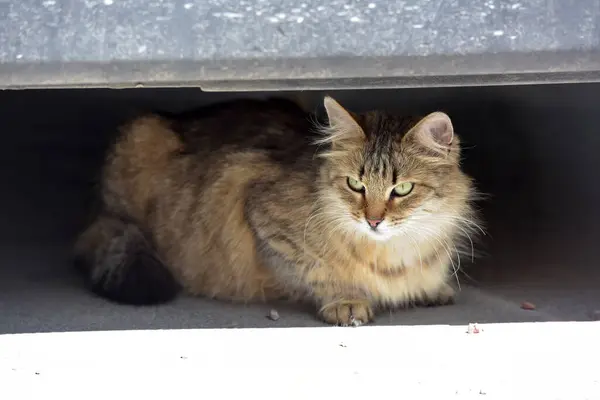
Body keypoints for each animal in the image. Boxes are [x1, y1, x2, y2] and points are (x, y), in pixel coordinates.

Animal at [74, 96, 478, 324]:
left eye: (403, 189)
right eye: (355, 185)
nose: (373, 220)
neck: (392, 254)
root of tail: (96, 213)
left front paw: (432, 288)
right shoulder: (261, 214)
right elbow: (319, 270)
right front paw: (346, 301)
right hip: (139, 140)